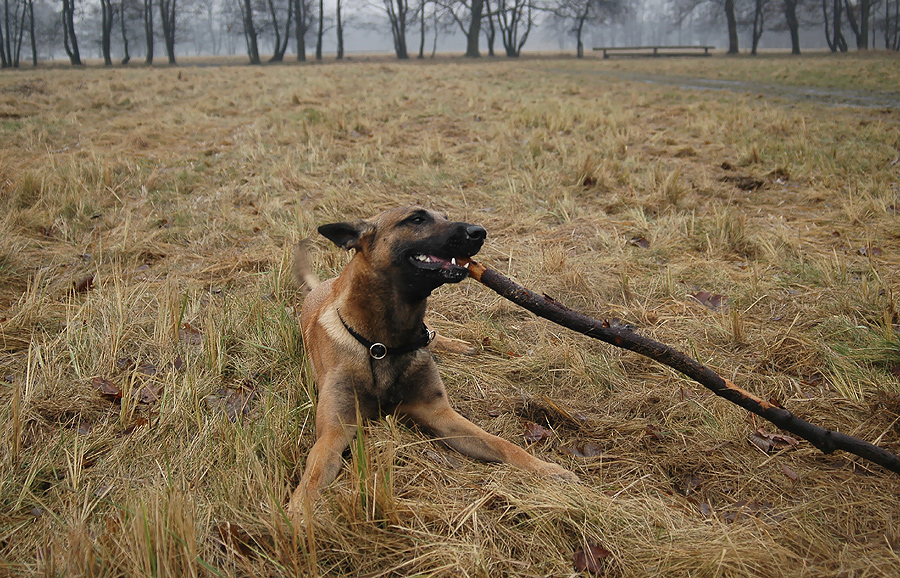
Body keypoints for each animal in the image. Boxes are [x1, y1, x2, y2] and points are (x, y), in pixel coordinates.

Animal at [292, 206, 580, 512]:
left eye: (445, 216)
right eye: (417, 219)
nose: (479, 232)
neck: (383, 345)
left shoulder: (441, 415)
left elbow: (503, 443)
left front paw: (547, 469)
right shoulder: (334, 432)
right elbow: (313, 476)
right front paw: (297, 514)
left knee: (434, 334)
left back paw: (460, 346)